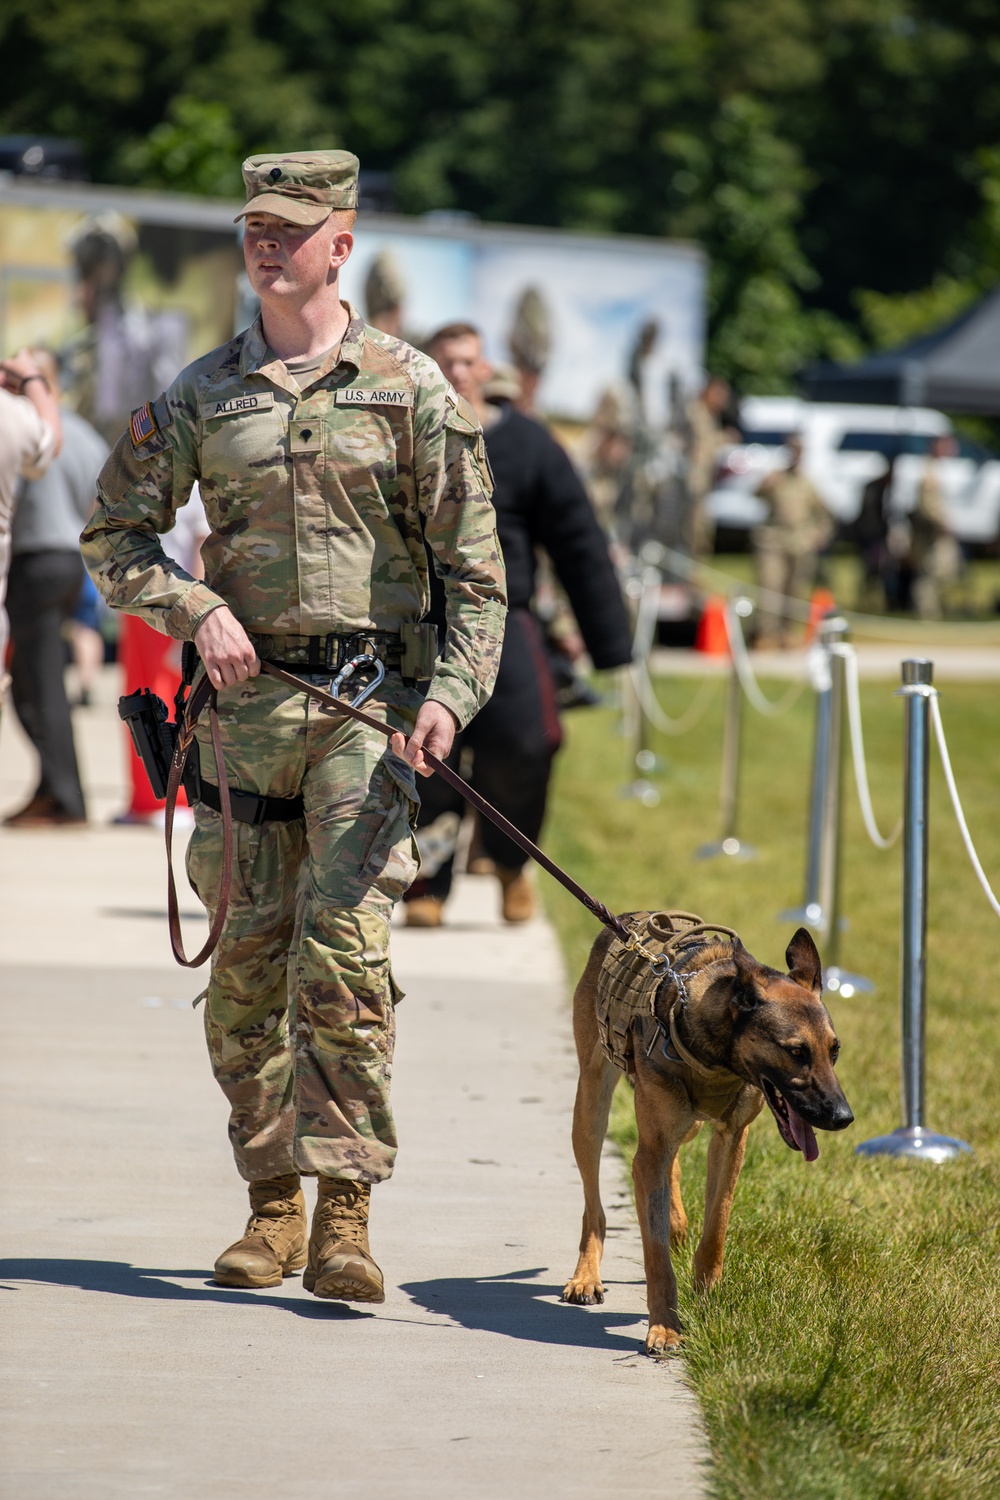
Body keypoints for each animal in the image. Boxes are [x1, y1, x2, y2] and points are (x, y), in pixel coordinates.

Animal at [563, 918, 851, 1356]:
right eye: (796, 1052)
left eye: (833, 1052)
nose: (843, 1116)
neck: (716, 1057)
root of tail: (626, 918)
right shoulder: (651, 1153)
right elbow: (656, 1256)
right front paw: (665, 1327)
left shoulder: (731, 1139)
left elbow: (717, 1223)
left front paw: (707, 1297)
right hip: (591, 1110)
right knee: (594, 1205)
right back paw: (586, 1275)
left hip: (685, 1126)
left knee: (672, 1165)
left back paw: (677, 1224)